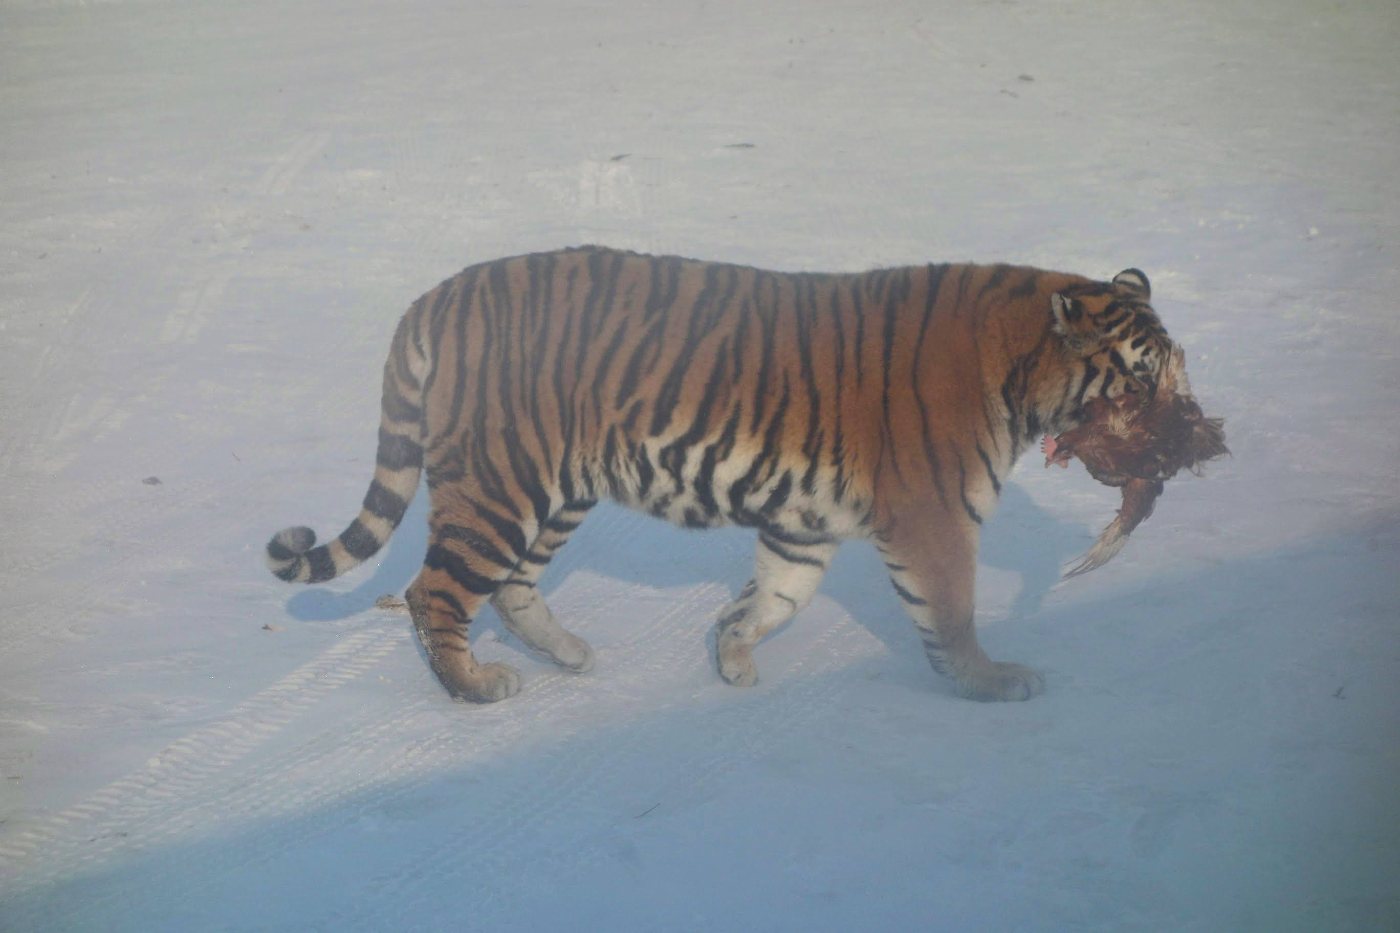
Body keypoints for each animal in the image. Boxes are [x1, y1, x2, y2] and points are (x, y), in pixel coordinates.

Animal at [266, 246, 1172, 704]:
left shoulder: (804, 522)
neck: (1019, 366)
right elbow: (950, 614)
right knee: (435, 592)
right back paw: (477, 686)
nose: (1178, 434)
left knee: (513, 585)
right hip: (502, 483)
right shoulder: (934, 518)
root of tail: (437, 295)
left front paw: (732, 655)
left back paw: (569, 653)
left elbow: (775, 596)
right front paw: (993, 680)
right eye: (1146, 375)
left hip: (555, 489)